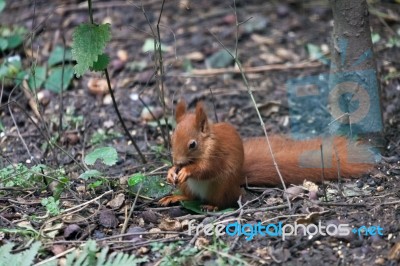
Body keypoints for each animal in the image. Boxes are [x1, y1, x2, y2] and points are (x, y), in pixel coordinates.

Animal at [159, 100, 376, 210]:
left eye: (192, 144)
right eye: (172, 137)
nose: (177, 161)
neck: (207, 143)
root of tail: (239, 180)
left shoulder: (216, 153)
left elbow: (206, 169)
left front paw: (187, 170)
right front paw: (171, 171)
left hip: (220, 187)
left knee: (225, 201)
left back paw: (212, 206)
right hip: (190, 188)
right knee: (191, 197)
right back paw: (176, 197)